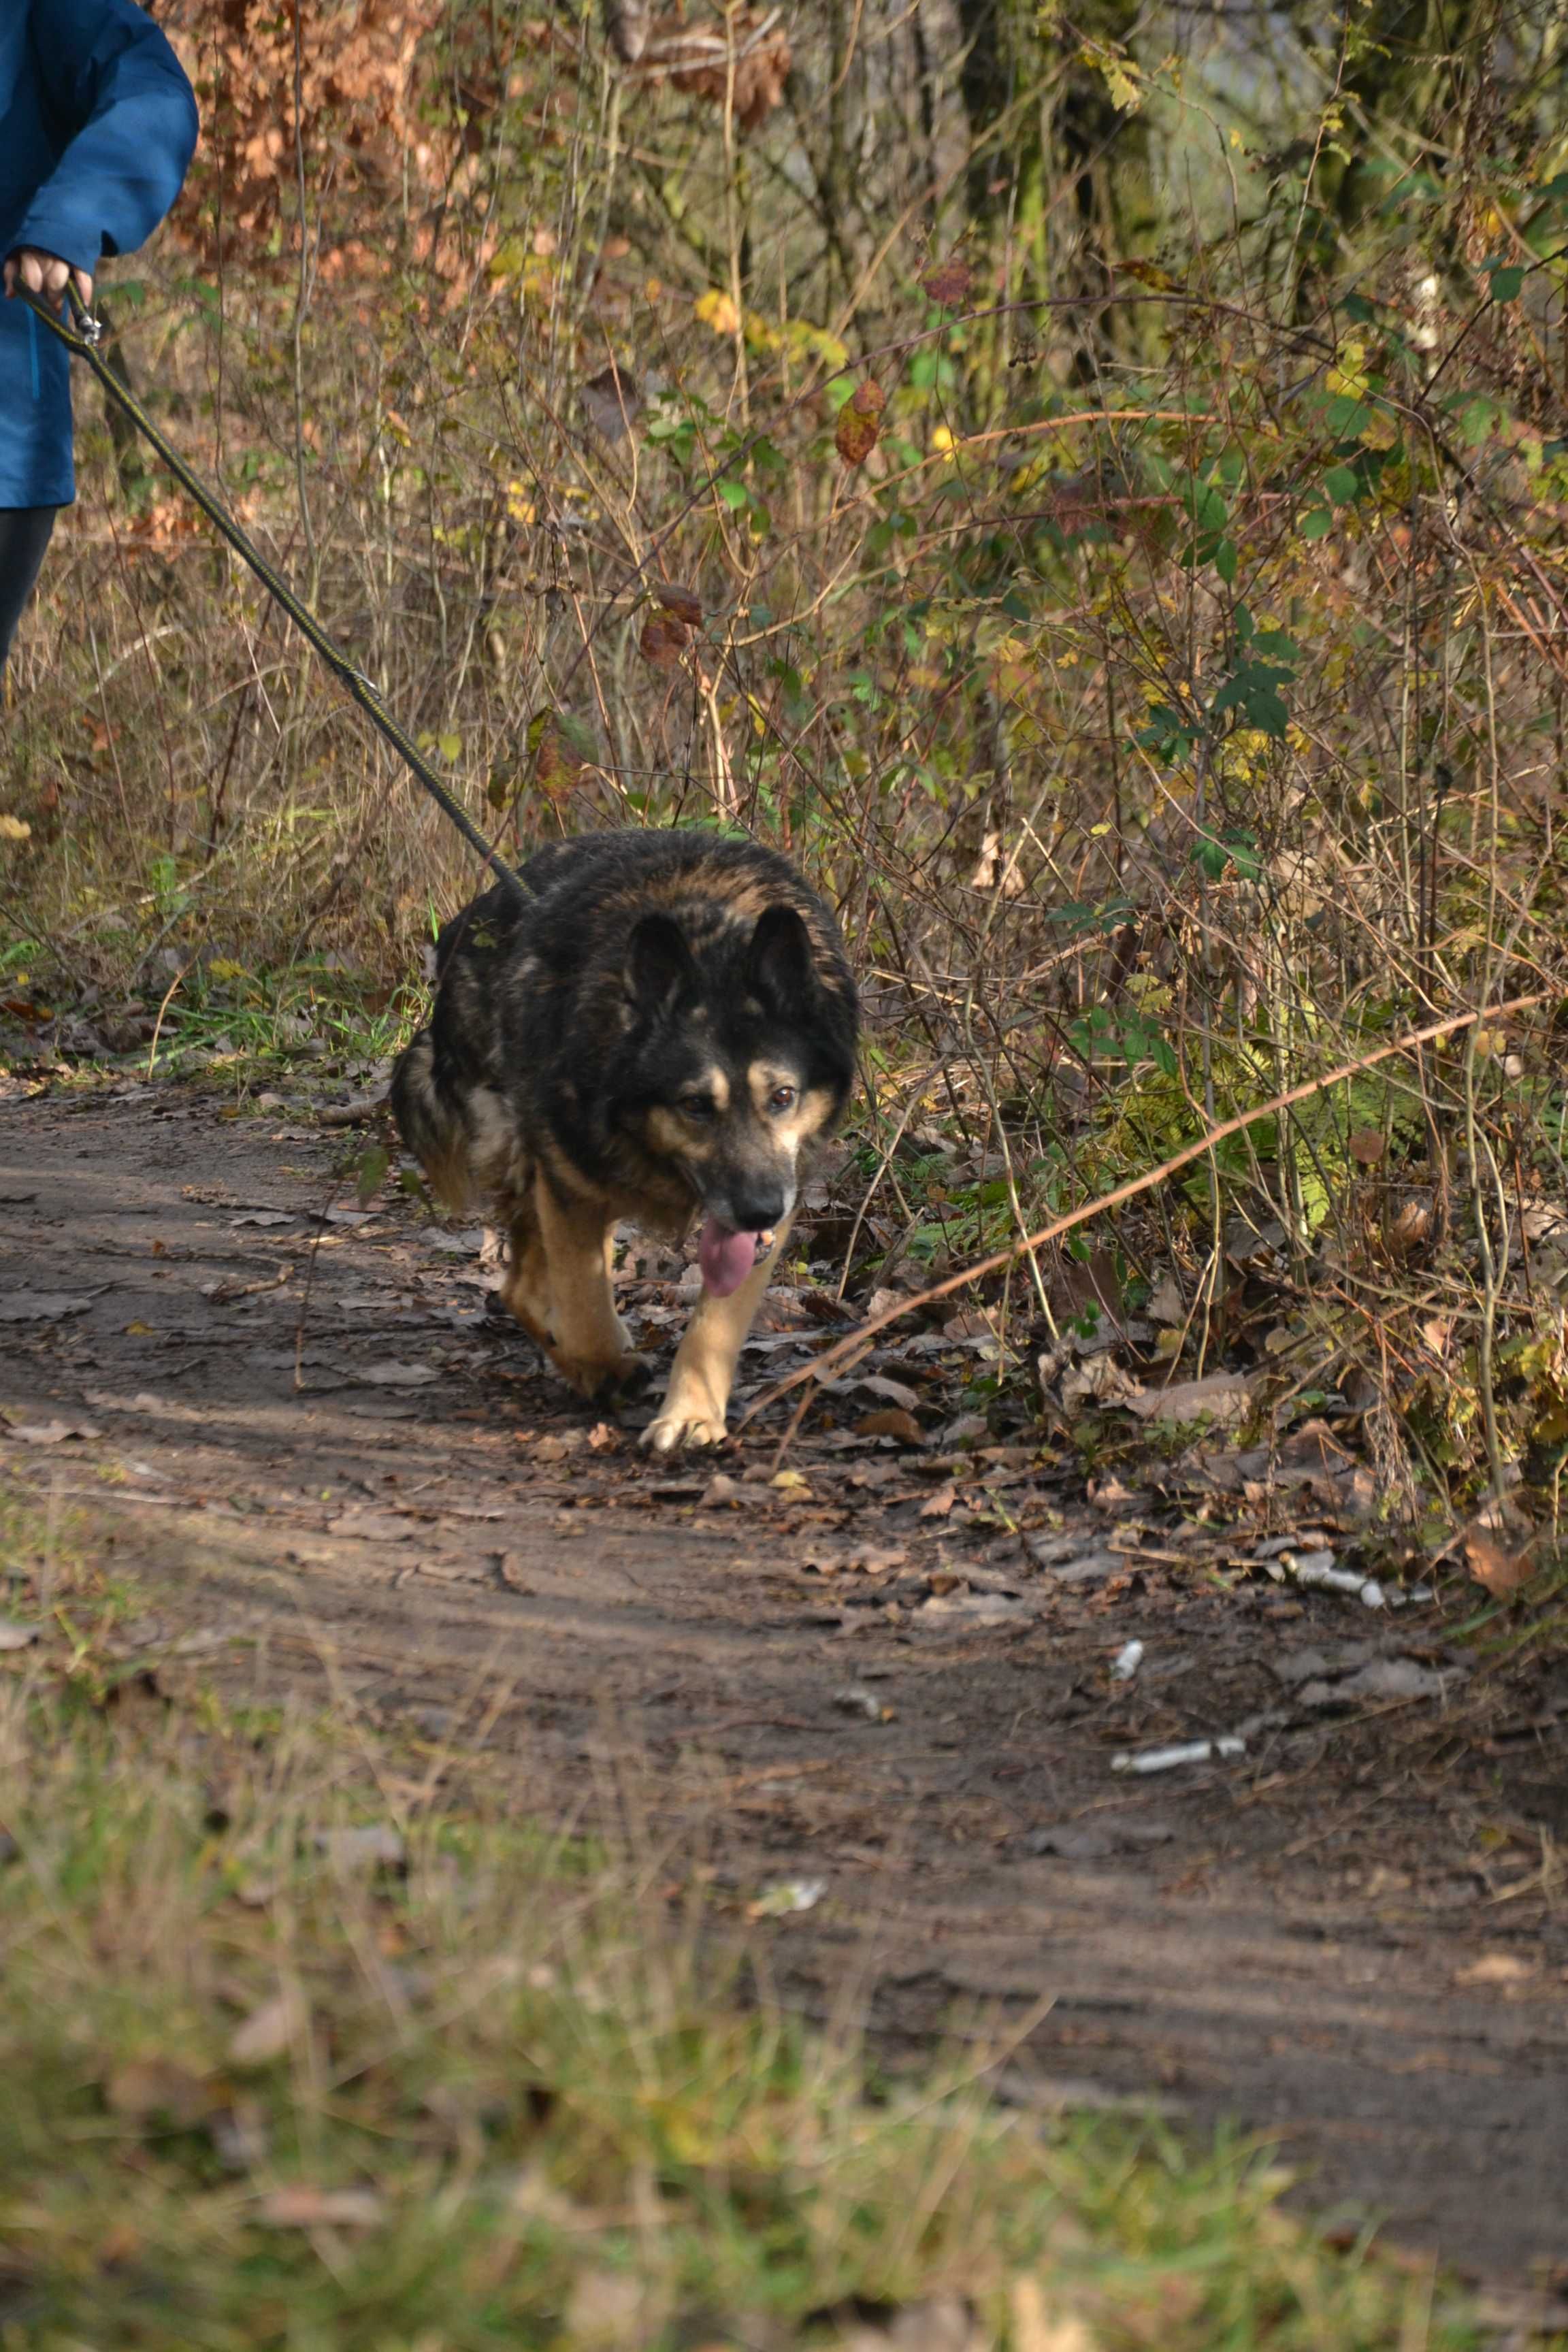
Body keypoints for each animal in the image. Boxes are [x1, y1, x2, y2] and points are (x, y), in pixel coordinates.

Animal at [390, 828, 860, 1448]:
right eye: (694, 1106)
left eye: (782, 1096)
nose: (760, 1211)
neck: (712, 945)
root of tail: (471, 919)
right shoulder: (570, 1184)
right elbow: (583, 1304)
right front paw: (603, 1365)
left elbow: (714, 1324)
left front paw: (692, 1414)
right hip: (530, 1149)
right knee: (524, 1287)